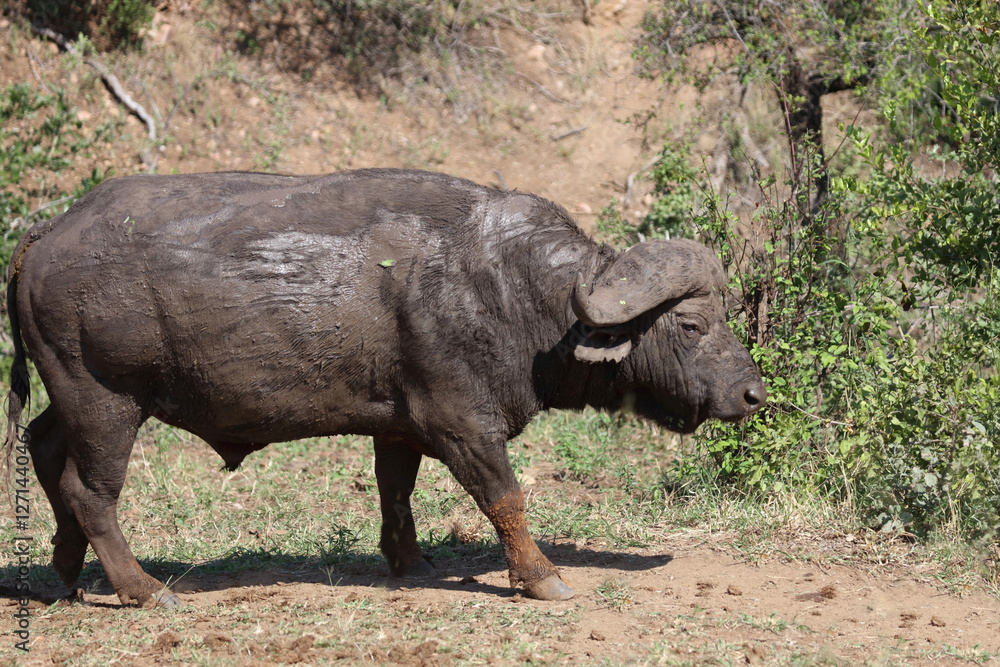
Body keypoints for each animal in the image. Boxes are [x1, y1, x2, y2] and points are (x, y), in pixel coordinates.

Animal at [4, 168, 764, 606]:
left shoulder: (398, 423)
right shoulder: (464, 424)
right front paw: (541, 576)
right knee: (89, 491)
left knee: (44, 450)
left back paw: (63, 570)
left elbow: (394, 489)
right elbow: (507, 498)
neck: (509, 287)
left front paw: (408, 562)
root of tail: (48, 232)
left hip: (70, 399)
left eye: (726, 316)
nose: (754, 395)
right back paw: (141, 588)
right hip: (107, 402)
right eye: (691, 324)